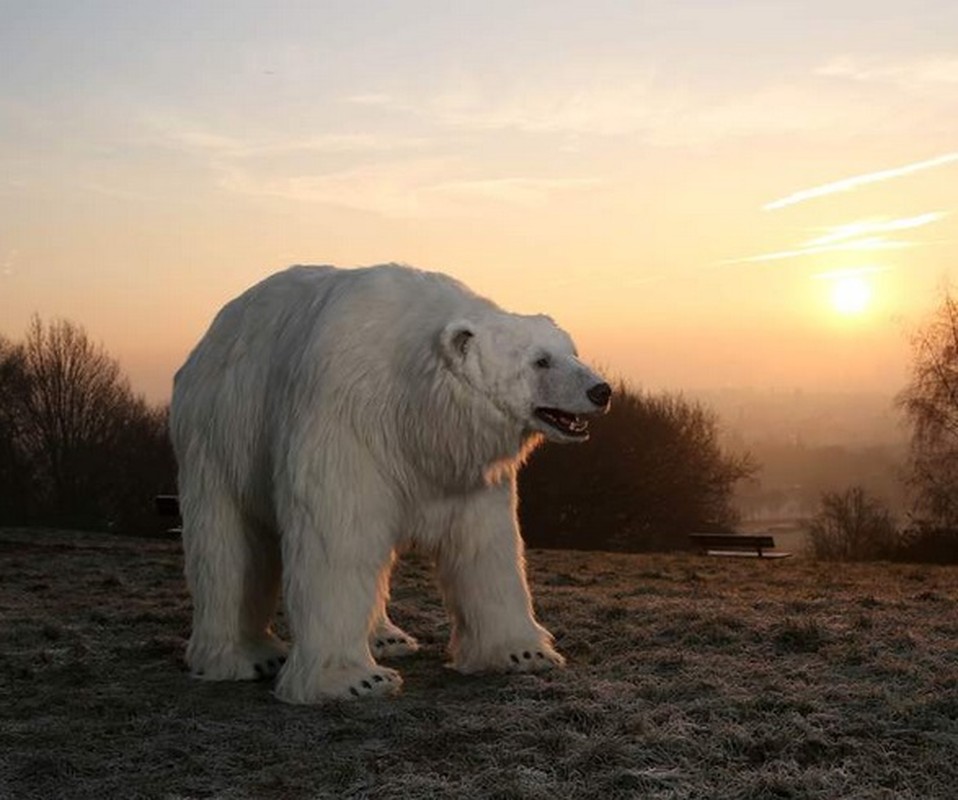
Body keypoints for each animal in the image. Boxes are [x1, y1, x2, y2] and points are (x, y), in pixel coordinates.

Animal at [170, 266, 612, 704]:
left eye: (571, 350)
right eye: (541, 361)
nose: (601, 390)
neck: (414, 404)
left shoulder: (460, 468)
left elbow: (485, 544)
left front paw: (523, 653)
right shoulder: (345, 418)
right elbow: (338, 539)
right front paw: (355, 681)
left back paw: (387, 638)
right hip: (218, 435)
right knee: (226, 549)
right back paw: (243, 658)